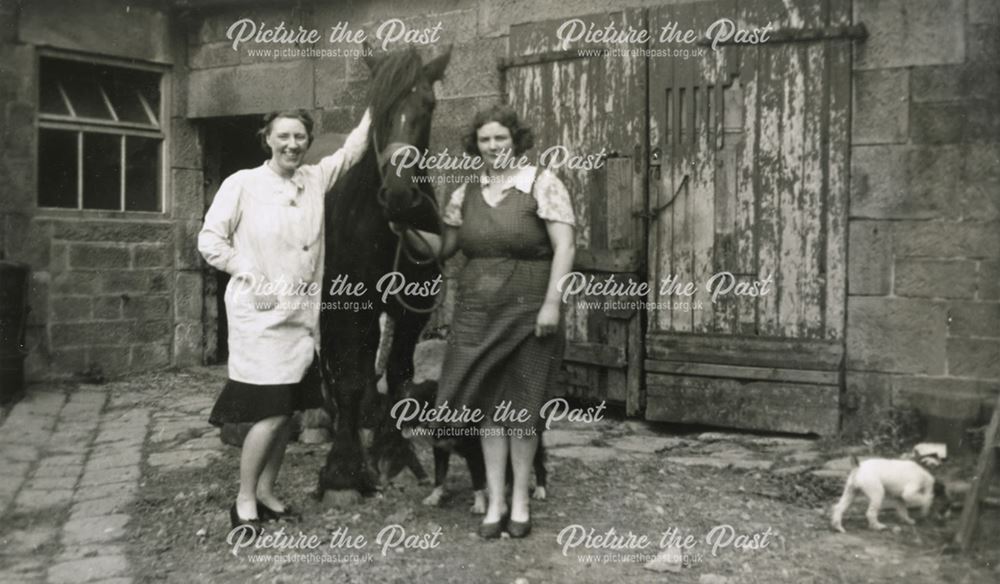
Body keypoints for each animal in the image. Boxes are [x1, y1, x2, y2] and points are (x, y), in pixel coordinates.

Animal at [318, 45, 452, 496]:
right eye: (379, 108)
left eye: (428, 105)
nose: (398, 194)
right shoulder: (349, 306)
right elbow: (350, 377)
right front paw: (344, 468)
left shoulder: (412, 310)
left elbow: (398, 375)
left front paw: (393, 451)